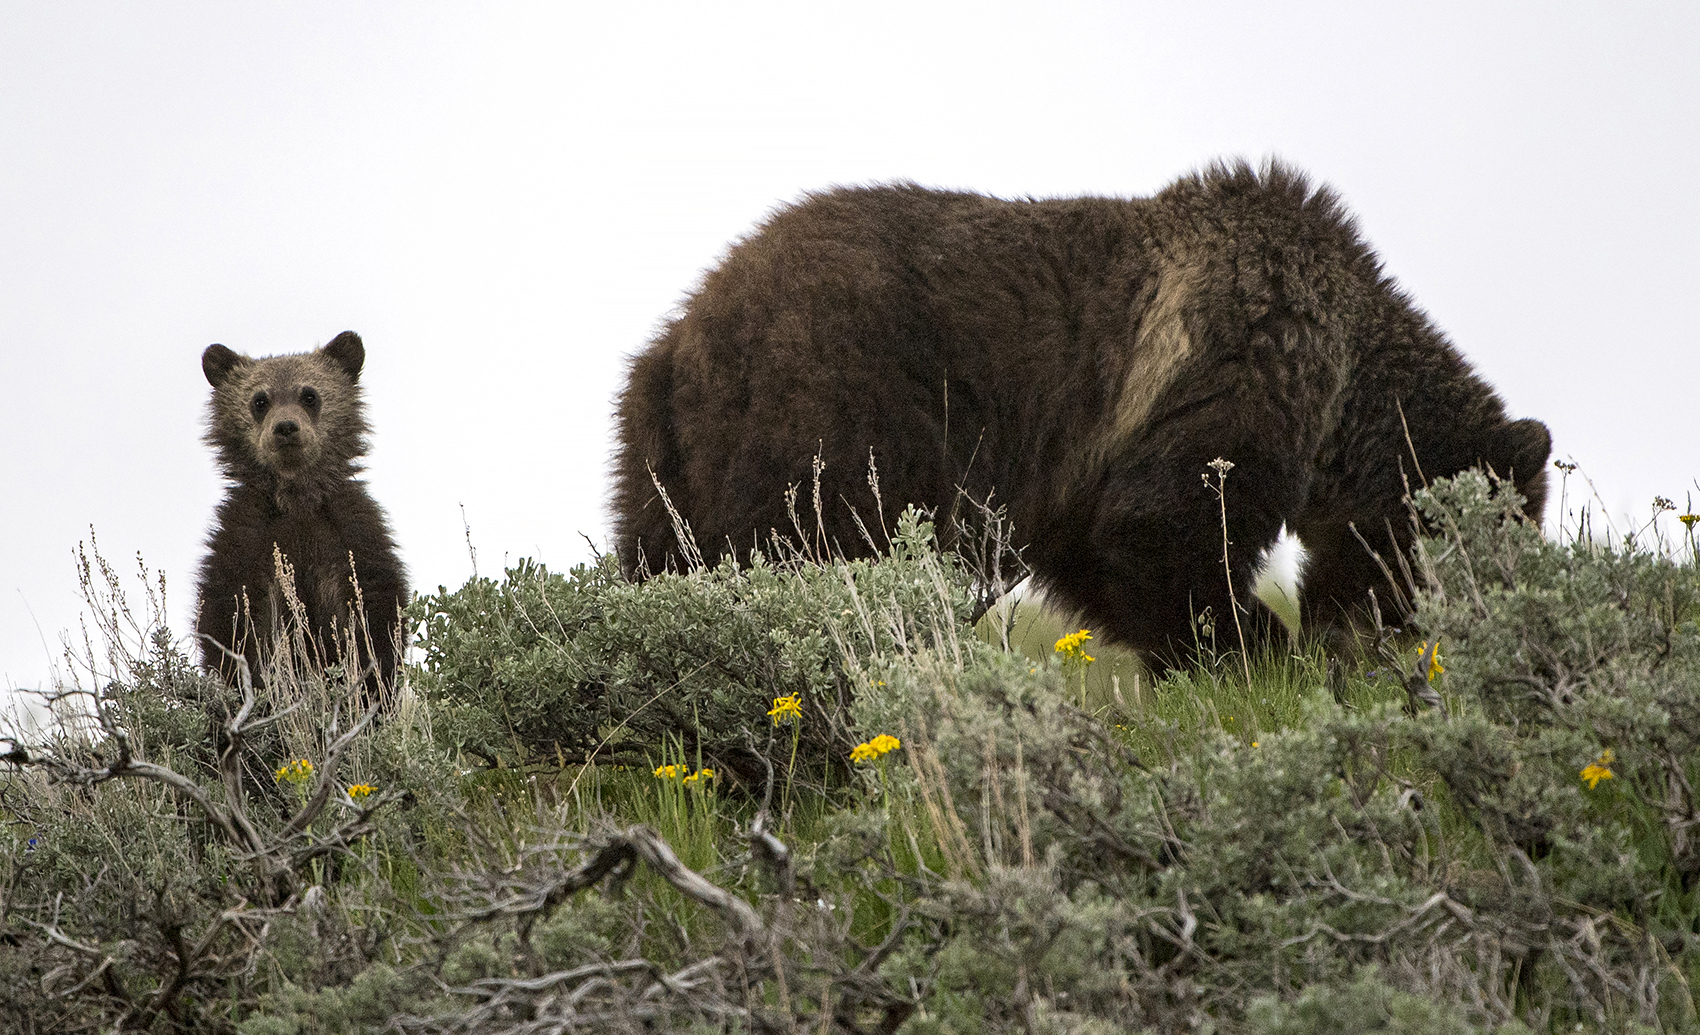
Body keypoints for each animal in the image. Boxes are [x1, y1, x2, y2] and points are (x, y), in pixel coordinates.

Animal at [194, 331, 408, 686]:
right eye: (260, 400)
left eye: (309, 395)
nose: (286, 428)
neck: (296, 499)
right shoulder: (245, 542)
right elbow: (229, 621)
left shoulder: (350, 535)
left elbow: (375, 616)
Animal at [612, 161, 1557, 662]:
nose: (1418, 634)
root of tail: (682, 336)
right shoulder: (1241, 357)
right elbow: (1167, 526)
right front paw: (1251, 646)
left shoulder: (1080, 474)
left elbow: (1106, 556)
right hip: (831, 405)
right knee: (814, 544)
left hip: (662, 462)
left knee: (657, 560)